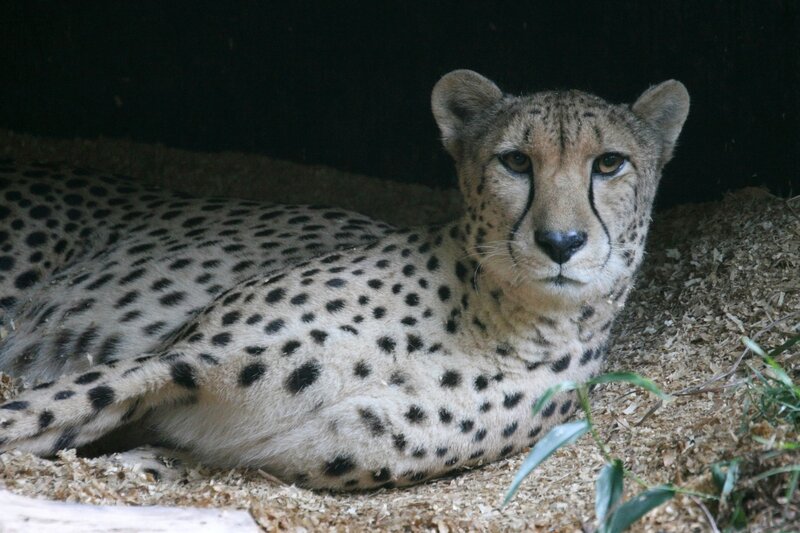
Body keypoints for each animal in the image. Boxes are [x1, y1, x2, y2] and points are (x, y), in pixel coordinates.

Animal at [0, 70, 689, 490]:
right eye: (516, 161)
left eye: (610, 163)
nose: (561, 243)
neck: (495, 320)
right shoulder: (173, 360)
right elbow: (40, 409)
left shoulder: (258, 452)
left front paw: (141, 463)